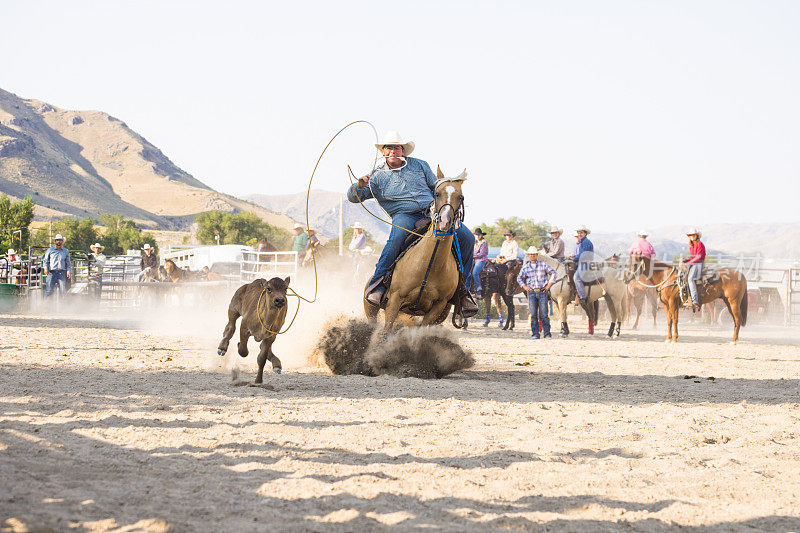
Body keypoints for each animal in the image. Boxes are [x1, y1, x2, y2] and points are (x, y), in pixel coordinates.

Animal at [624, 252, 752, 340]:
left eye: (634, 264)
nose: (625, 278)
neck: (667, 277)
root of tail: (741, 275)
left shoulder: (673, 303)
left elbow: (675, 320)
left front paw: (675, 338)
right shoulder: (666, 304)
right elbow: (669, 320)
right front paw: (668, 338)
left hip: (734, 302)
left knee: (738, 319)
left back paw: (734, 341)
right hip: (729, 303)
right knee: (735, 320)